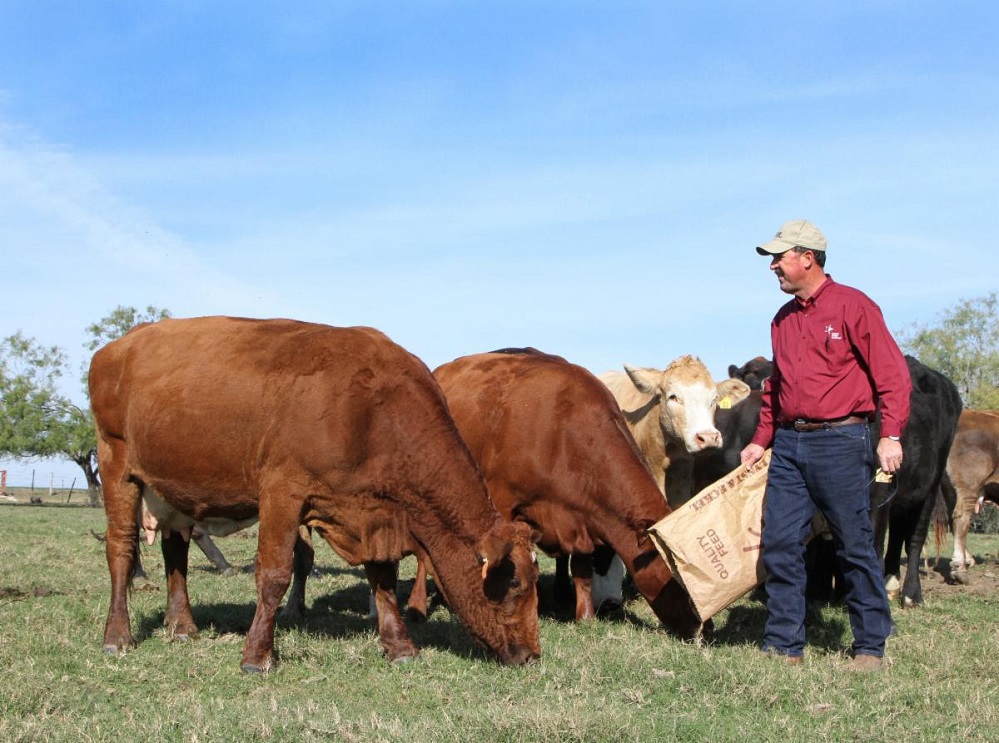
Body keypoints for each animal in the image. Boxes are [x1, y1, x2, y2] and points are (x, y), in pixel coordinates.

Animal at [90, 316, 544, 672]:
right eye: (515, 583)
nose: (532, 655)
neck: (371, 413)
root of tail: (119, 345)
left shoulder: (374, 510)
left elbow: (382, 577)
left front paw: (400, 646)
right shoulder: (282, 492)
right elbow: (274, 574)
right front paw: (257, 656)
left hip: (171, 491)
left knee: (176, 552)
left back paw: (183, 626)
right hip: (116, 466)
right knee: (121, 550)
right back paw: (117, 636)